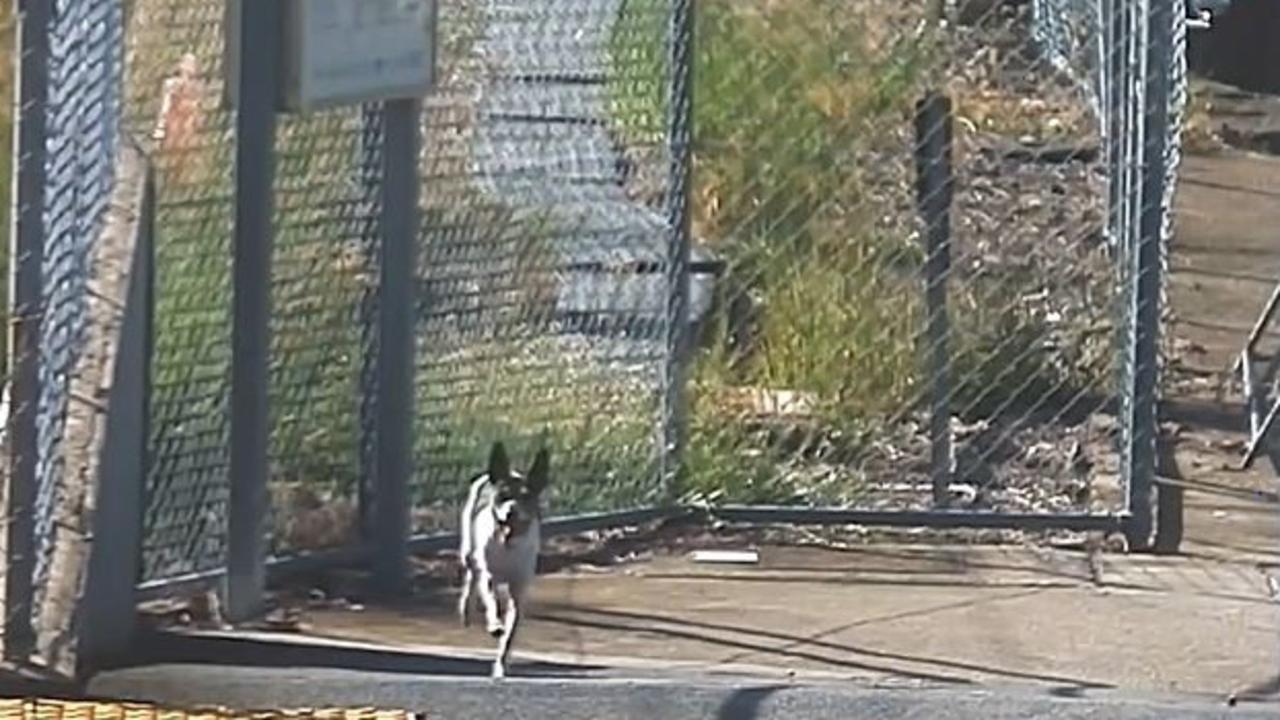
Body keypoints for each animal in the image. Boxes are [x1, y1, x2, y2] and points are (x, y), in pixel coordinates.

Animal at [458, 438, 547, 676]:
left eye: (526, 496)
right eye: (503, 496)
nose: (511, 512)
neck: (508, 545)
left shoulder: (519, 591)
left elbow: (510, 634)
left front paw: (501, 664)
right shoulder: (489, 576)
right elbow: (491, 602)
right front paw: (495, 624)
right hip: (468, 550)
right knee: (471, 575)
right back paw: (465, 610)